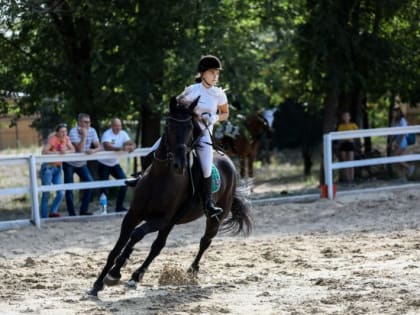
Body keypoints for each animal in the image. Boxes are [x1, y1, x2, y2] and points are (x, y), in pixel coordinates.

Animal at [87, 97, 251, 298]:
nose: (179, 164)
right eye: (169, 126)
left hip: (214, 218)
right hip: (172, 222)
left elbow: (136, 235)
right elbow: (117, 247)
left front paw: (115, 273)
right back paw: (136, 276)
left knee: (205, 241)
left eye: (190, 127)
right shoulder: (133, 215)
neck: (160, 178)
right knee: (158, 246)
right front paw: (98, 284)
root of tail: (229, 163)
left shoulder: (161, 219)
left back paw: (191, 271)